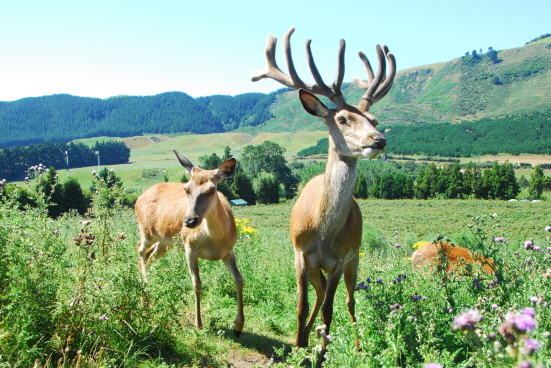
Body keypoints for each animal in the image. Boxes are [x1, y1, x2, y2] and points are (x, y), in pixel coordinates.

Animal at [135, 150, 245, 336]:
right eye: (186, 188)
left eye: (212, 189)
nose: (189, 221)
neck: (214, 241)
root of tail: (138, 198)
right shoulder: (189, 246)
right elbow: (197, 284)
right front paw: (198, 324)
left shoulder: (228, 251)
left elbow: (239, 279)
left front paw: (238, 326)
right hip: (147, 231)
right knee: (140, 249)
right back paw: (146, 285)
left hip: (164, 242)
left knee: (149, 256)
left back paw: (146, 296)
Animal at [252, 26, 394, 354]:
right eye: (342, 118)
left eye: (374, 120)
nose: (379, 139)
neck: (323, 233)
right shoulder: (300, 254)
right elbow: (301, 305)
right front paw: (297, 343)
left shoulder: (339, 260)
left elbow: (331, 309)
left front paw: (323, 351)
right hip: (319, 268)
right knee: (318, 296)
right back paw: (306, 335)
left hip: (354, 259)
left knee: (350, 300)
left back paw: (356, 344)